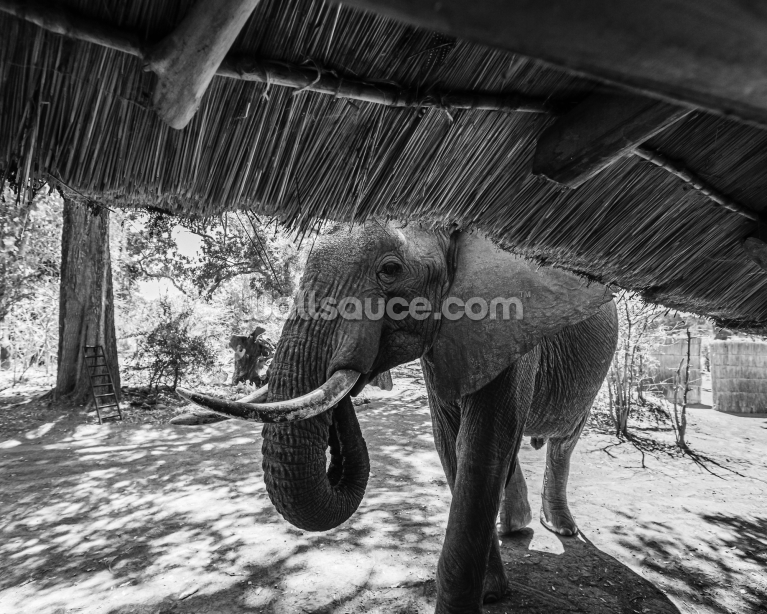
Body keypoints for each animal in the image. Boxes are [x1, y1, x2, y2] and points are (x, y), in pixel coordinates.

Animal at [177, 221, 618, 614]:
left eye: (390, 270)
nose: (350, 367)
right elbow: (452, 445)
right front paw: (491, 594)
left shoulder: (510, 325)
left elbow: (482, 449)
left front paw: (479, 598)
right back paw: (515, 527)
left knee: (563, 443)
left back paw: (560, 528)